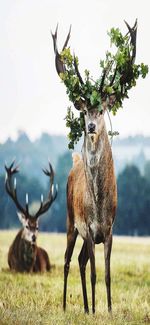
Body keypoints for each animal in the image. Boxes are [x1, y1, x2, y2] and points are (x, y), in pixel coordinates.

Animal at [51, 19, 138, 312]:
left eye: (101, 110)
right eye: (84, 111)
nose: (90, 125)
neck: (99, 204)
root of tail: (74, 163)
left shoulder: (110, 228)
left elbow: (108, 273)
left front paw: (108, 309)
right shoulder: (88, 227)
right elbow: (94, 273)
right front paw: (97, 310)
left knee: (78, 260)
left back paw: (88, 307)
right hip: (69, 220)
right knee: (68, 261)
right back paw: (66, 306)